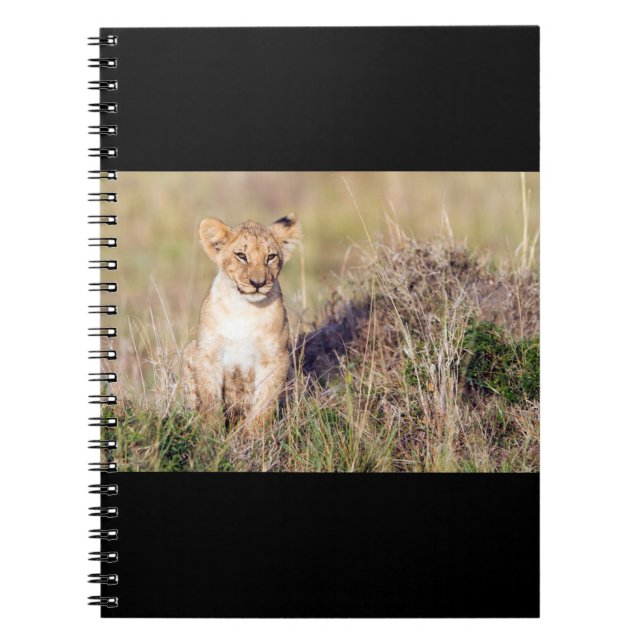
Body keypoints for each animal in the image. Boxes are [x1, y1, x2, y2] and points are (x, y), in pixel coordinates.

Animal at [181, 213, 302, 431]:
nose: (258, 283)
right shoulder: (207, 353)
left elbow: (264, 403)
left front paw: (254, 435)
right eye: (241, 255)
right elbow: (209, 400)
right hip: (189, 350)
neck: (244, 309)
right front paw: (211, 433)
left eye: (271, 257)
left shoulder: (275, 358)